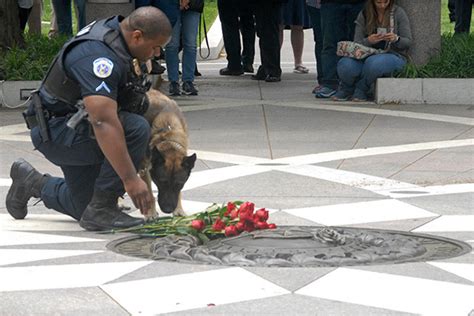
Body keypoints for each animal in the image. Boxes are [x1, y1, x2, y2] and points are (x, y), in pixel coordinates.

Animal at [139, 88, 196, 220]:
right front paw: (150, 212)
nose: (168, 210)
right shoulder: (144, 167)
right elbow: (148, 192)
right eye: (161, 182)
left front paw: (178, 209)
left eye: (179, 184)